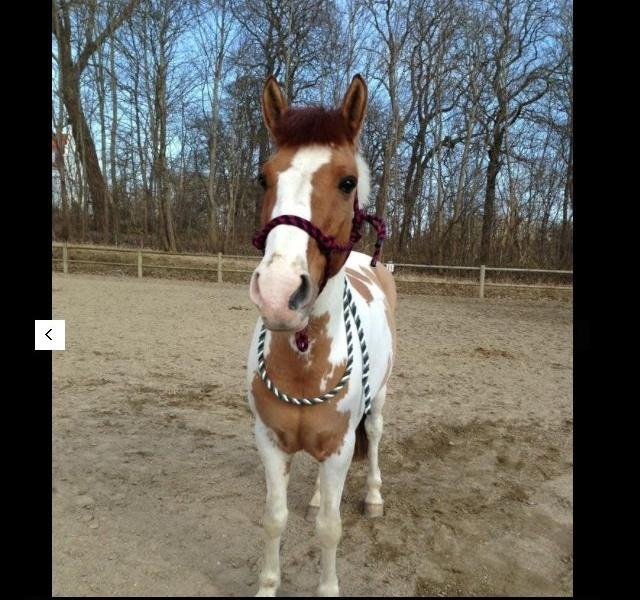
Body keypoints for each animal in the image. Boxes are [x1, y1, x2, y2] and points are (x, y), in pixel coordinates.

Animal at [246, 74, 396, 597]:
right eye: (263, 177)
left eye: (347, 182)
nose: (278, 292)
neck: (305, 359)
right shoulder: (269, 442)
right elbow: (273, 519)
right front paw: (267, 586)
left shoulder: (340, 448)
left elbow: (330, 529)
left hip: (380, 401)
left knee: (376, 438)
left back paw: (374, 498)